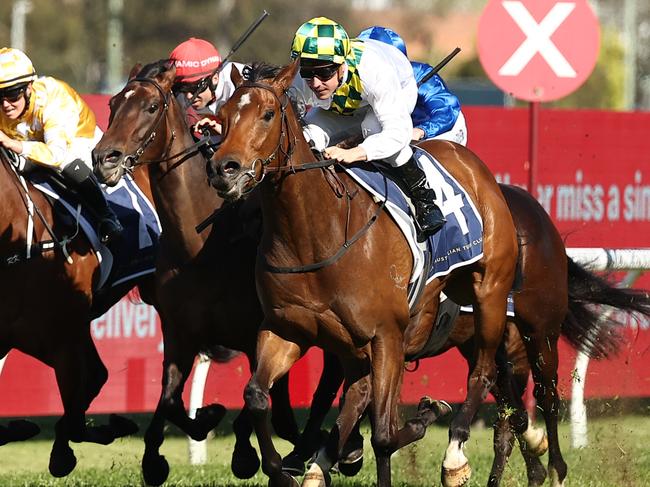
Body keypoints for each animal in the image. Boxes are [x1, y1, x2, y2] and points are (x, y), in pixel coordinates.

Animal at [91, 59, 302, 486]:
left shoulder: (258, 331)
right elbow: (170, 399)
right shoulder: (179, 333)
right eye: (114, 105)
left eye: (151, 107)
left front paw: (245, 452)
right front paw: (173, 444)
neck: (201, 246)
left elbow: (257, 395)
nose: (104, 158)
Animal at [208, 60, 520, 487]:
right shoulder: (286, 330)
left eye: (268, 114)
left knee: (483, 374)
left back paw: (454, 455)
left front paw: (427, 415)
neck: (316, 234)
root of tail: (469, 162)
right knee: (356, 393)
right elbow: (256, 396)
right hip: (364, 339)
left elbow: (385, 434)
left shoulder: (386, 334)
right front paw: (281, 470)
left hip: (489, 294)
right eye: (222, 116)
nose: (224, 170)